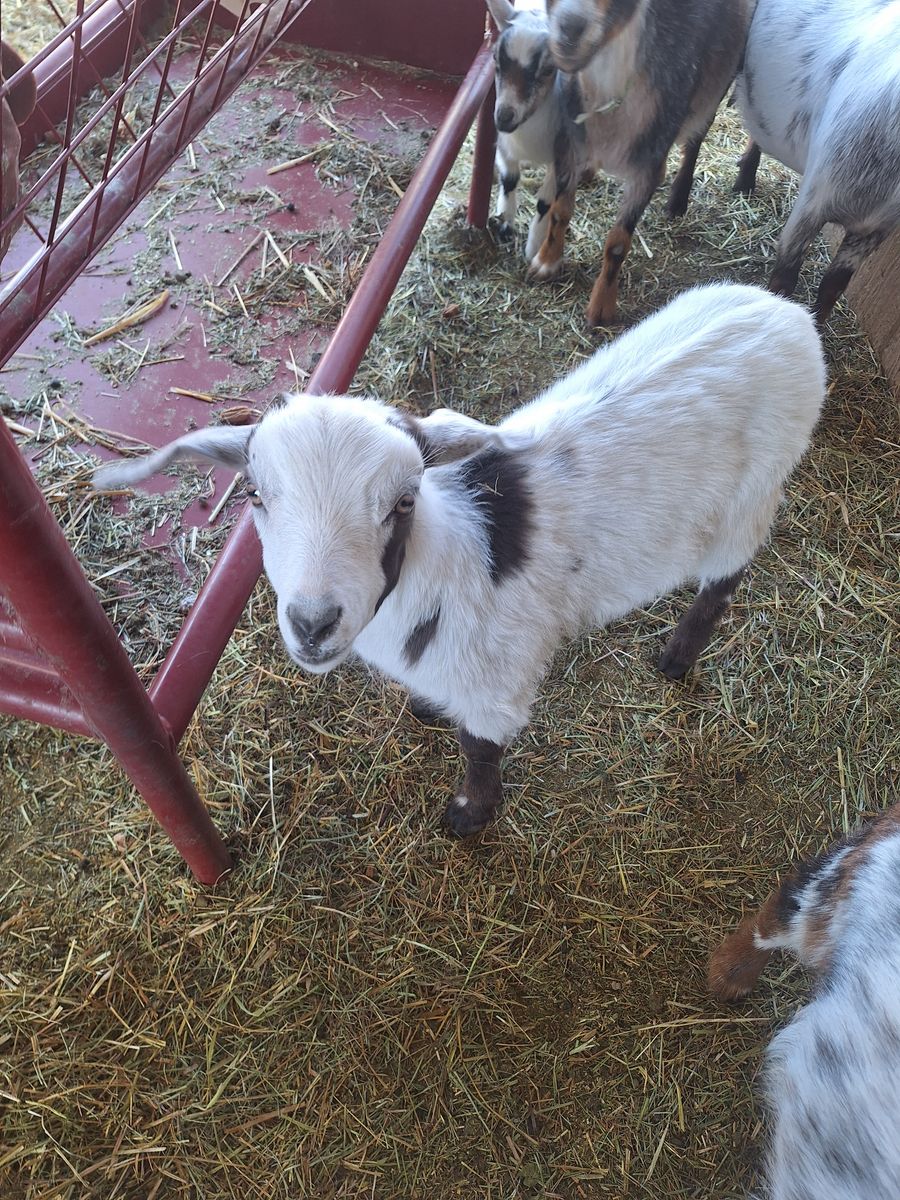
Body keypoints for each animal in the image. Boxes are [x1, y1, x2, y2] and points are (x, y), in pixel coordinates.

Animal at [92, 283, 824, 838]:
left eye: (403, 501)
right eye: (253, 495)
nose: (314, 622)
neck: (438, 566)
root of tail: (786, 312)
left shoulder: (498, 680)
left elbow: (480, 748)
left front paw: (469, 815)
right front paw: (425, 709)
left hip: (752, 497)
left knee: (721, 583)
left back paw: (676, 658)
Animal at [533, 0, 752, 324]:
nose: (570, 28)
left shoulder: (649, 165)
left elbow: (617, 243)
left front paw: (601, 308)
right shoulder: (567, 142)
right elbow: (560, 211)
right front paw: (546, 262)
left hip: (715, 84)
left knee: (697, 136)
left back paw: (680, 199)